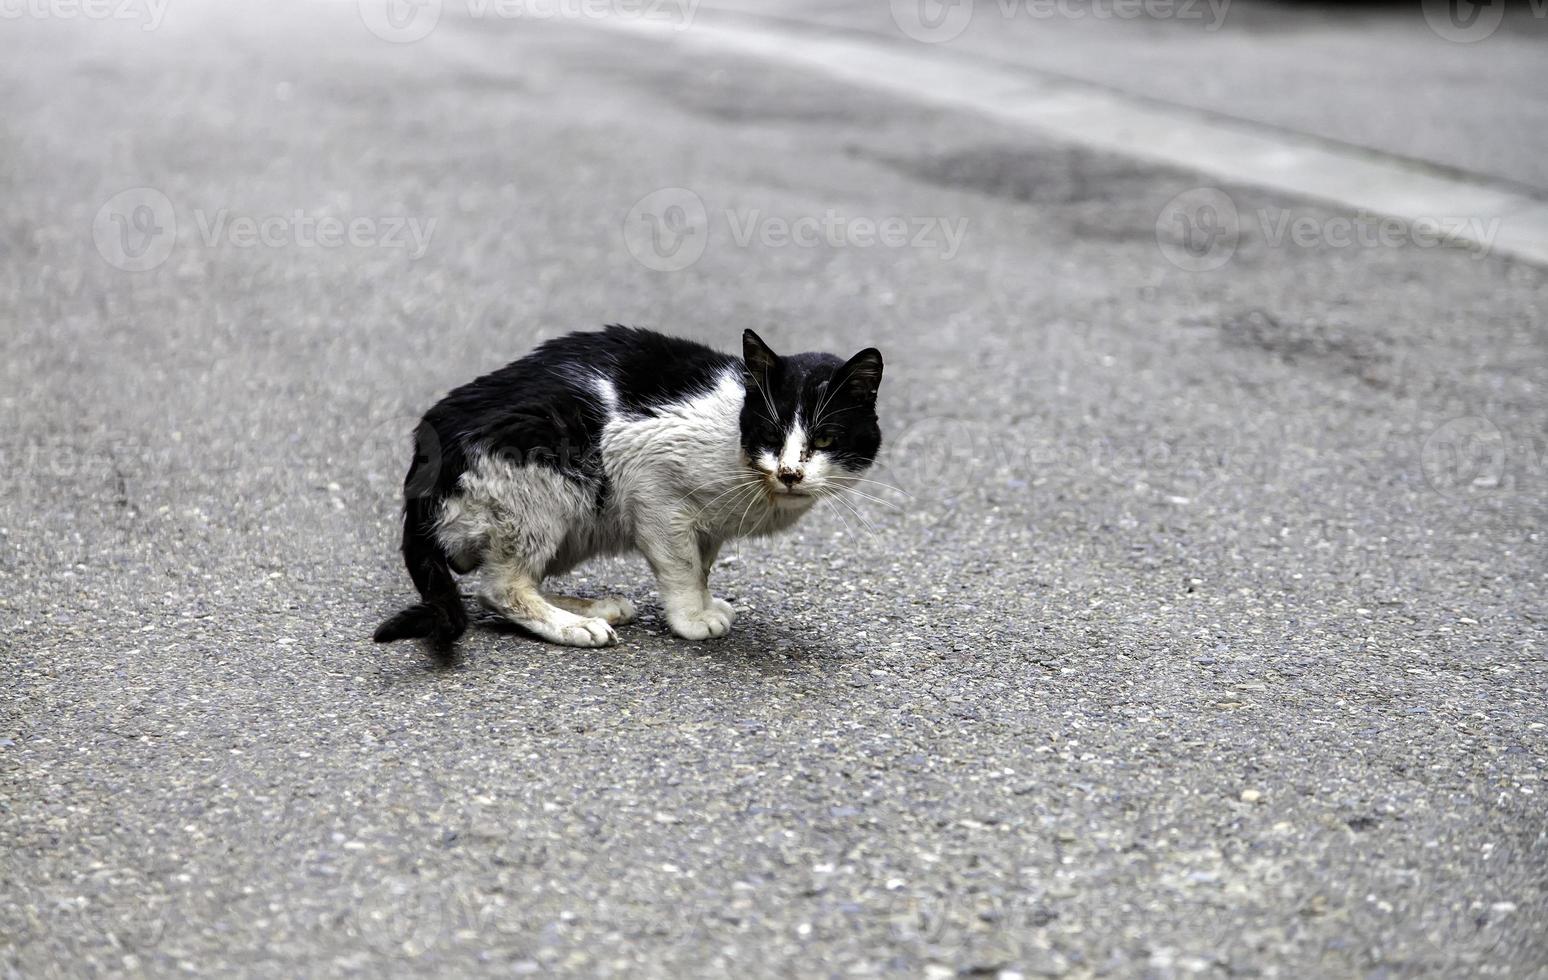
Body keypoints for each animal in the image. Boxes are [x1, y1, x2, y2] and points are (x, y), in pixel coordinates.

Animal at [371, 328, 885, 656]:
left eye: (825, 439)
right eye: (771, 433)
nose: (790, 472)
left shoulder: (709, 526)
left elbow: (702, 565)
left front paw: (705, 602)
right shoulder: (653, 486)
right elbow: (681, 567)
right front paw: (692, 618)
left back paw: (595, 607)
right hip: (544, 480)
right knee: (499, 590)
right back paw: (575, 625)